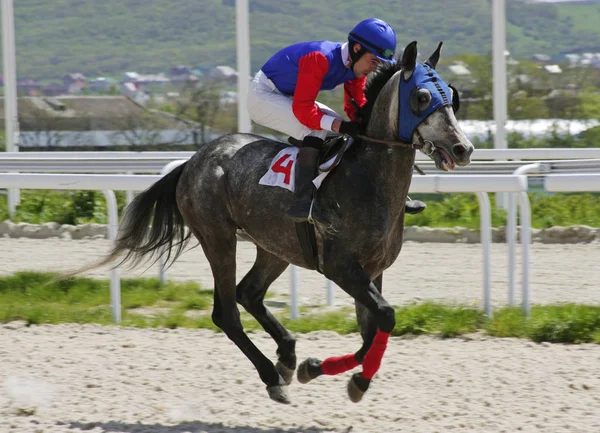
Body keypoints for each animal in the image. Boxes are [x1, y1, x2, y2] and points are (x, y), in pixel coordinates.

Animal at [95, 42, 474, 404]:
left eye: (452, 95)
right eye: (421, 97)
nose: (463, 149)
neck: (368, 180)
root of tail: (194, 160)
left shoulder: (373, 269)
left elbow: (374, 329)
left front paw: (321, 369)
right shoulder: (340, 267)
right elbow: (385, 316)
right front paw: (350, 378)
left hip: (275, 245)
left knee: (248, 293)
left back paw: (288, 357)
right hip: (217, 237)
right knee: (226, 312)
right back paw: (273, 376)